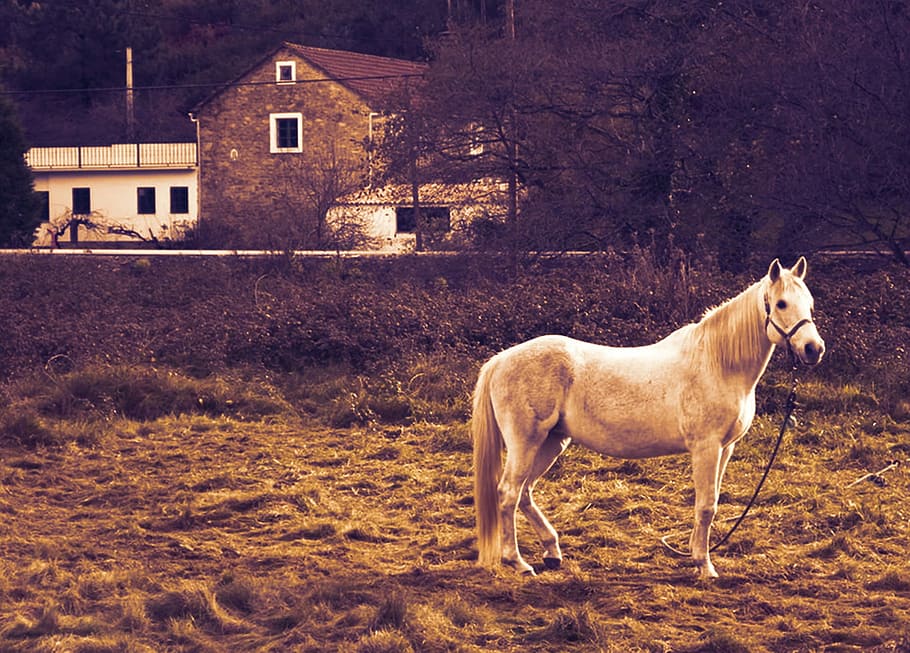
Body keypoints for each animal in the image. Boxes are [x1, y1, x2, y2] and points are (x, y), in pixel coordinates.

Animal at [478, 258, 828, 580]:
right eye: (781, 303)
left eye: (809, 303)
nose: (814, 349)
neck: (716, 364)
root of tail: (501, 360)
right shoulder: (707, 448)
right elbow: (706, 505)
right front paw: (705, 566)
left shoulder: (725, 449)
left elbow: (711, 501)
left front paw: (695, 554)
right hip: (526, 442)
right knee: (509, 492)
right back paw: (518, 562)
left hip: (551, 442)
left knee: (524, 492)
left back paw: (552, 552)